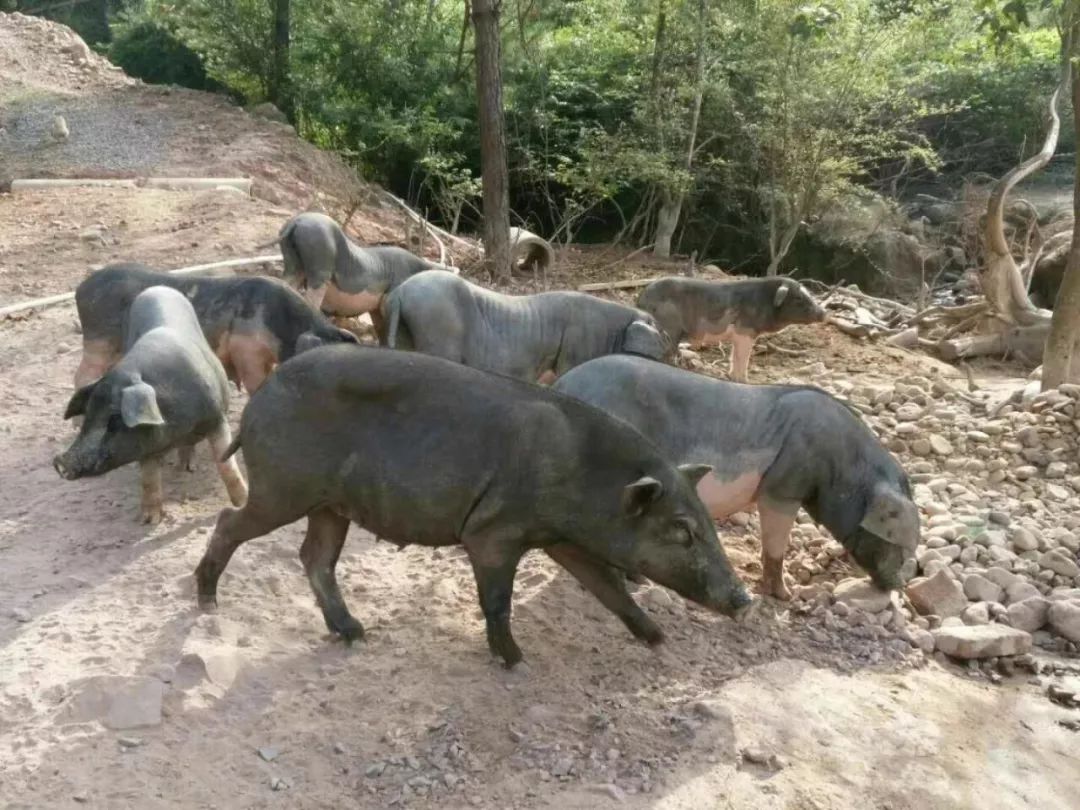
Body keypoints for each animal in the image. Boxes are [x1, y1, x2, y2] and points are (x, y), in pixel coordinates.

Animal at [56, 285, 248, 527]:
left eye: (114, 420)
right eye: (88, 415)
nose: (60, 462)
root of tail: (156, 288)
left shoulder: (217, 417)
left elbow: (226, 464)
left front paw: (242, 502)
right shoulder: (145, 444)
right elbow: (149, 478)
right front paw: (149, 521)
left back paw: (188, 468)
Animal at [196, 345, 751, 669]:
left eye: (707, 524)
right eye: (682, 530)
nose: (743, 599)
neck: (580, 476)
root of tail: (260, 395)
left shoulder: (562, 539)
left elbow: (609, 588)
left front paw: (659, 640)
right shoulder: (493, 532)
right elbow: (498, 600)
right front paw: (517, 661)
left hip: (331, 504)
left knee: (315, 557)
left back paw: (354, 633)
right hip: (284, 486)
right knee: (231, 522)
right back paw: (207, 603)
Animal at [557, 356, 920, 604]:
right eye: (898, 544)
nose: (900, 586)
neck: (844, 471)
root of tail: (564, 384)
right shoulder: (783, 486)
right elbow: (776, 543)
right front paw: (786, 597)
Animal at [635, 276, 820, 384]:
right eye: (798, 298)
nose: (823, 312)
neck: (765, 301)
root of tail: (641, 299)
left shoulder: (739, 336)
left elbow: (734, 356)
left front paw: (733, 378)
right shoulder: (746, 331)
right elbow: (743, 357)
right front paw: (745, 381)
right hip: (670, 330)